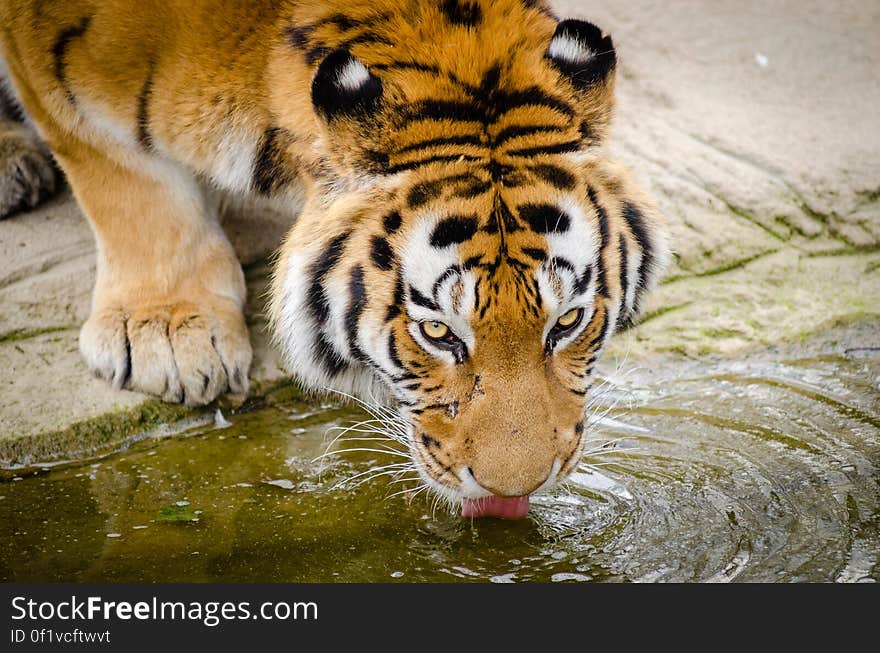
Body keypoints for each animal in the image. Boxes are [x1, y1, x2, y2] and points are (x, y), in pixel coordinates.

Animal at [0, 1, 668, 520]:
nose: (514, 490)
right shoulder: (59, 76)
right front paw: (166, 334)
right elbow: (127, 179)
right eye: (437, 332)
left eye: (567, 322)